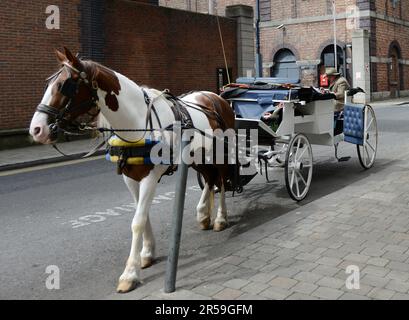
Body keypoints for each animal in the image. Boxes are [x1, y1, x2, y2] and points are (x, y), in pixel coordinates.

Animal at [28, 47, 234, 292]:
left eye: (65, 84)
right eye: (48, 83)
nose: (36, 129)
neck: (136, 123)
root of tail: (215, 96)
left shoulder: (150, 178)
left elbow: (137, 221)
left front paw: (130, 273)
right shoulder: (130, 177)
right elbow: (141, 214)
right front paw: (147, 253)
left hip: (220, 154)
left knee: (221, 182)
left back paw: (220, 218)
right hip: (198, 156)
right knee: (209, 179)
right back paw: (203, 213)